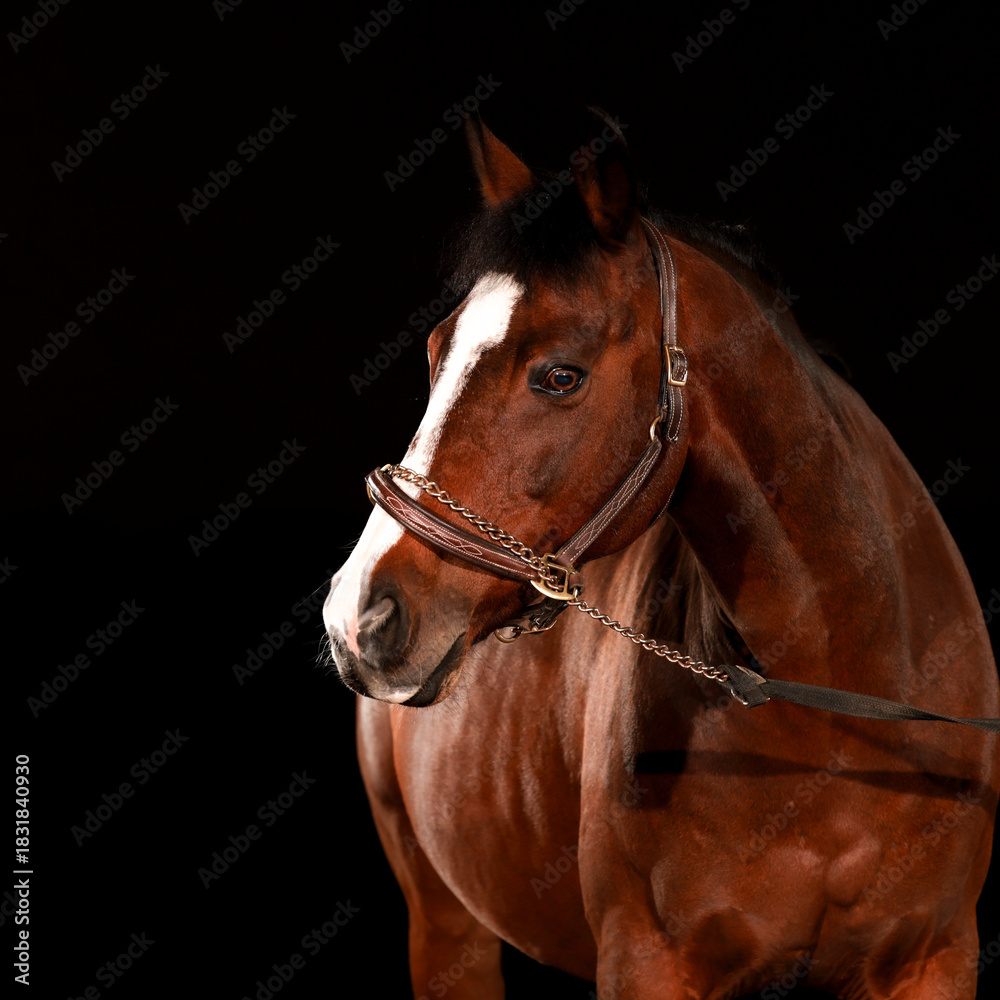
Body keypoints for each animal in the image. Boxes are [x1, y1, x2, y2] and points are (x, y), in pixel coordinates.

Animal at [322, 112, 999, 999]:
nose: (357, 616)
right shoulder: (648, 963)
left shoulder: (932, 958)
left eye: (560, 375)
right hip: (445, 926)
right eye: (438, 353)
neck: (837, 704)